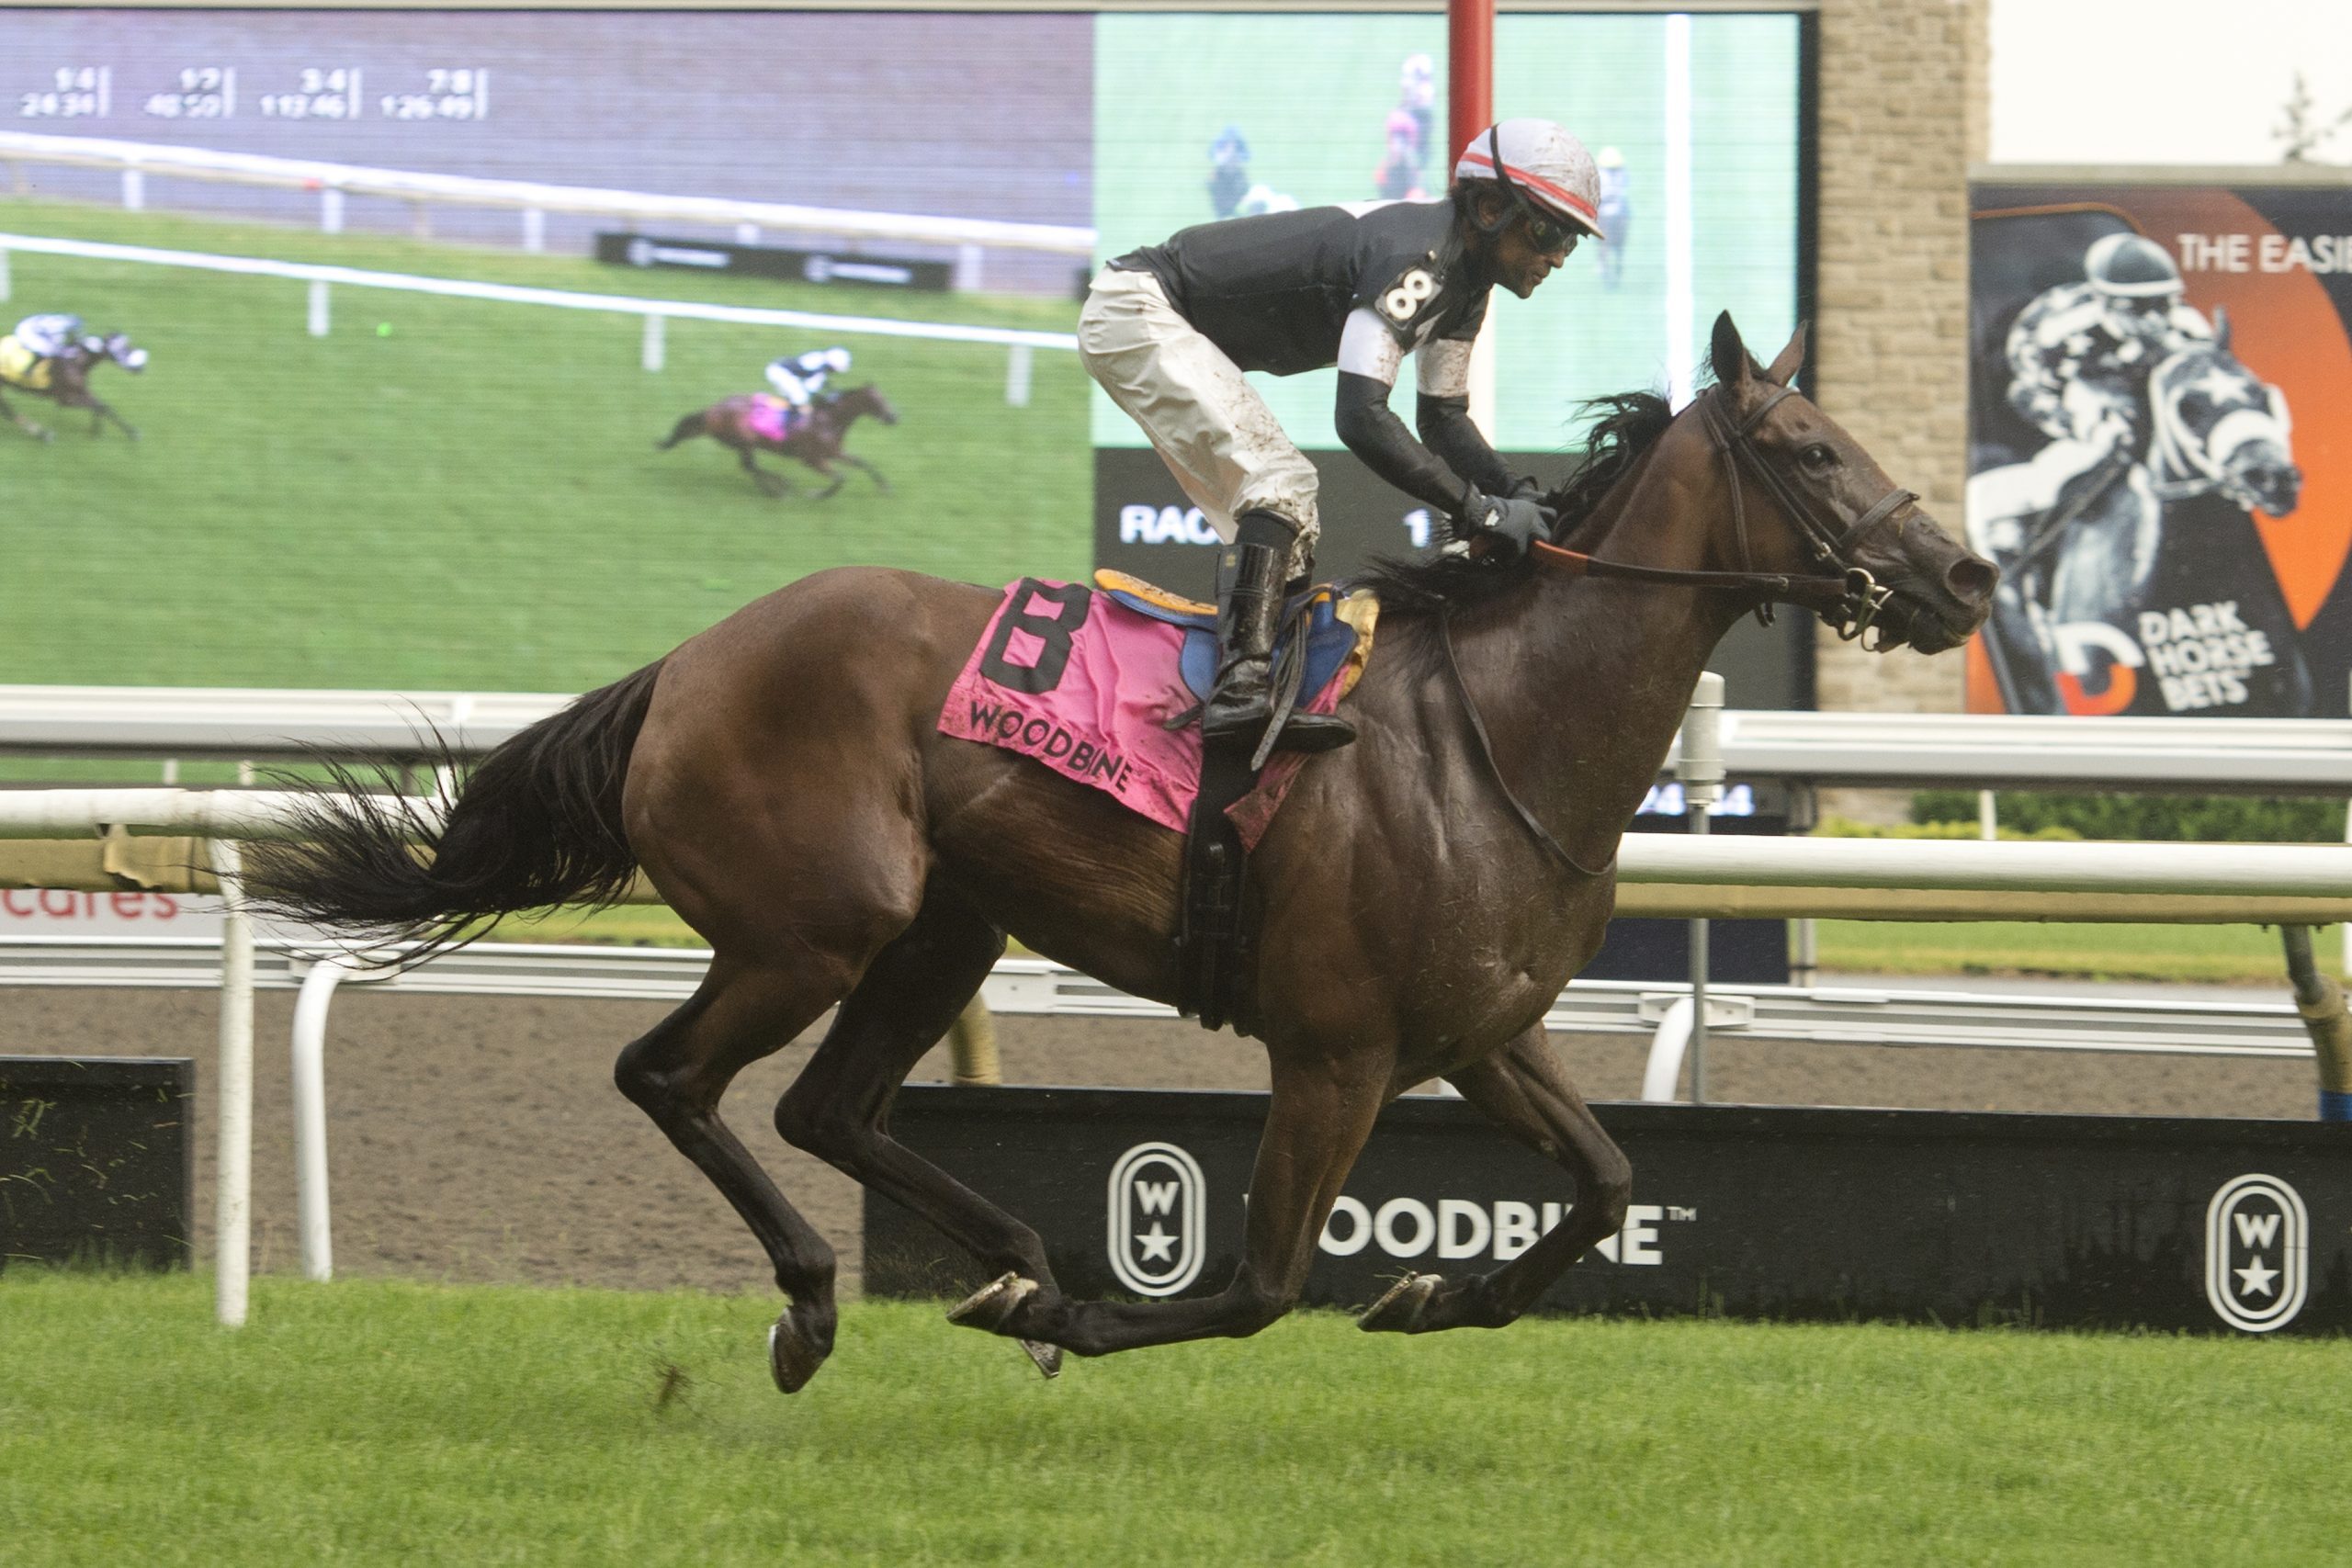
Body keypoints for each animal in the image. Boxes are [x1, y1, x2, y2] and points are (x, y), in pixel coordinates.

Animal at [0, 329, 147, 442]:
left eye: (128, 344)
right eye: (124, 348)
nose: (140, 368)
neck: (76, 362)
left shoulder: (83, 391)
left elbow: (104, 406)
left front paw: (132, 433)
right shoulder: (66, 399)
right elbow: (100, 406)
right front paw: (96, 430)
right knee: (8, 412)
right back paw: (44, 435)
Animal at [653, 385, 898, 501]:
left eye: (885, 398)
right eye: (878, 400)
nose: (894, 417)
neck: (828, 420)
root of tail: (713, 410)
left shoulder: (834, 452)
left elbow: (863, 463)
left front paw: (885, 487)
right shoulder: (811, 459)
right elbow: (840, 478)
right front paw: (816, 494)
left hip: (741, 444)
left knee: (749, 467)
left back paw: (776, 487)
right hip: (744, 441)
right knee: (749, 466)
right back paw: (780, 487)